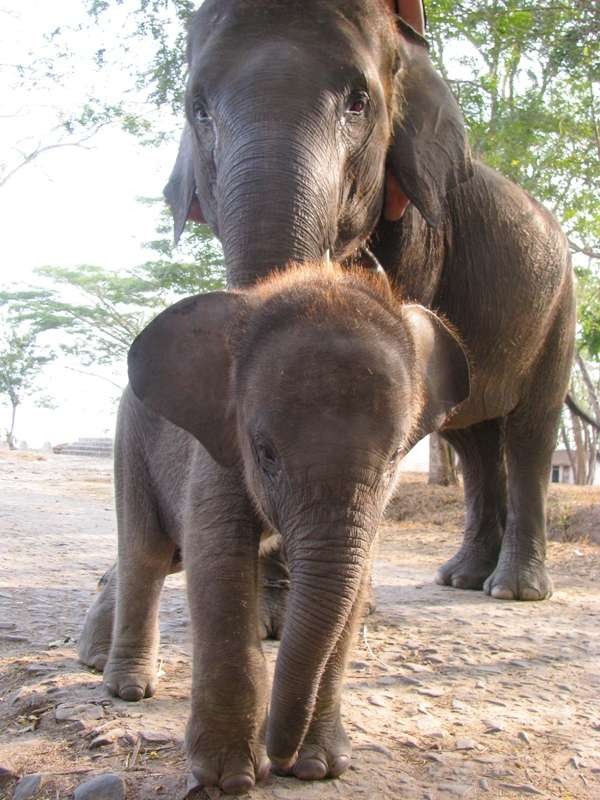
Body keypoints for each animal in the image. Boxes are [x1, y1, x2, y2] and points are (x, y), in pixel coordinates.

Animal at [77, 262, 468, 792]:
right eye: (265, 453)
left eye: (394, 459)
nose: (278, 757)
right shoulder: (220, 447)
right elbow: (219, 563)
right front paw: (229, 779)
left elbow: (353, 585)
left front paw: (318, 768)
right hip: (130, 440)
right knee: (148, 554)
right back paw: (126, 687)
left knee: (163, 557)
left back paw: (98, 660)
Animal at [165, 0, 576, 600]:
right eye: (198, 109)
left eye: (358, 103)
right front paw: (275, 601)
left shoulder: (422, 237)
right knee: (472, 440)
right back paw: (463, 578)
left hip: (559, 310)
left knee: (530, 432)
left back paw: (512, 590)